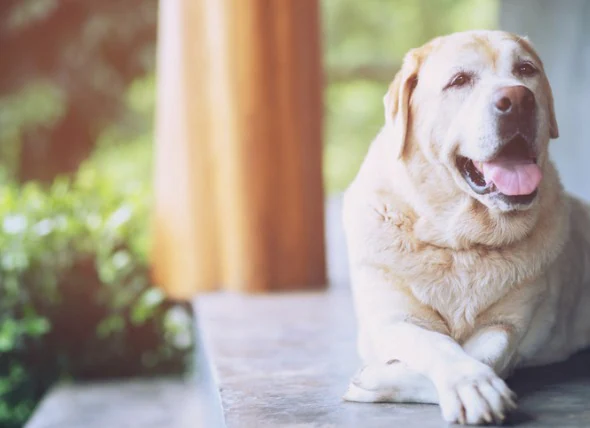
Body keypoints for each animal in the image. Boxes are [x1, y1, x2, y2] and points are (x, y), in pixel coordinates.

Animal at [342, 30, 590, 424]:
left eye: (526, 70)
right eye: (459, 80)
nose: (518, 98)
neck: (459, 243)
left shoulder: (508, 324)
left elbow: (486, 355)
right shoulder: (392, 319)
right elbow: (435, 343)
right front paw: (467, 383)